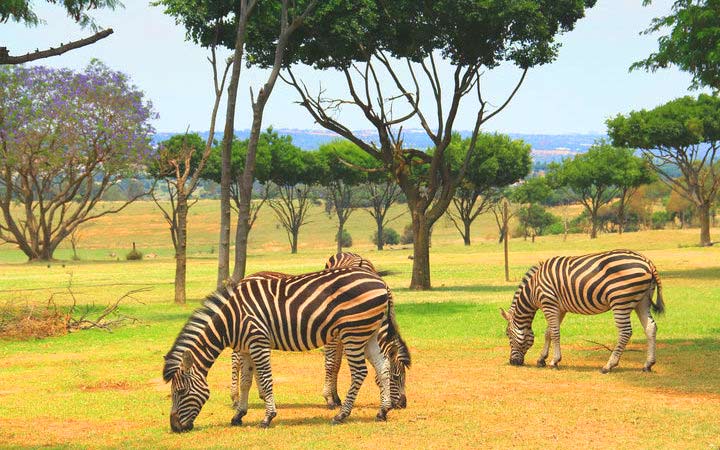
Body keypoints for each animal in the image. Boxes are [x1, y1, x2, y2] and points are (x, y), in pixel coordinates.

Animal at [165, 266, 400, 430]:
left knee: (360, 372)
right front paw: (239, 414)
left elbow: (266, 380)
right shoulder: (246, 348)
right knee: (383, 368)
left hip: (353, 333)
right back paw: (383, 411)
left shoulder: (258, 343)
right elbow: (245, 381)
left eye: (181, 391)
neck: (232, 319)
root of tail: (381, 282)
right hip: (368, 333)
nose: (175, 428)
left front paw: (267, 417)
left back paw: (341, 415)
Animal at [500, 250, 664, 372]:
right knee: (651, 328)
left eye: (507, 334)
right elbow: (548, 333)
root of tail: (646, 261)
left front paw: (554, 361)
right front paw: (542, 359)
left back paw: (609, 365)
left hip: (620, 301)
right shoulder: (559, 308)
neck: (533, 289)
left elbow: (554, 333)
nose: (513, 362)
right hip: (642, 301)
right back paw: (648, 364)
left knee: (625, 332)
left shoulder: (549, 304)